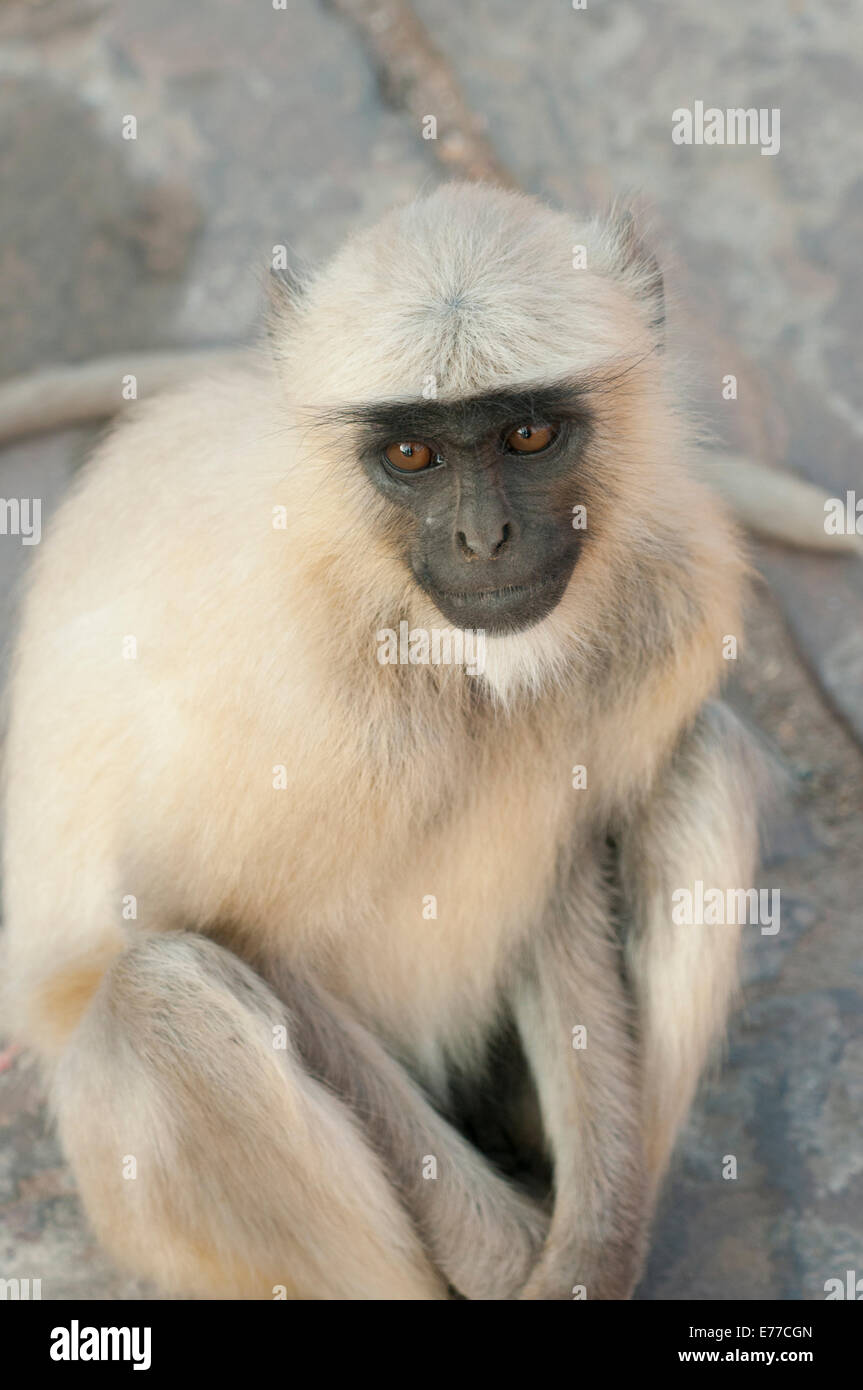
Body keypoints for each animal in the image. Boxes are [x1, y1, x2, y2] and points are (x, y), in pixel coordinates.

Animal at [2, 180, 763, 1300]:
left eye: (527, 434)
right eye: (412, 454)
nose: (483, 541)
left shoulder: (666, 591)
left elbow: (566, 865)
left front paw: (588, 1253)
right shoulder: (297, 683)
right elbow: (211, 923)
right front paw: (512, 1259)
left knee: (704, 761)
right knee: (157, 997)